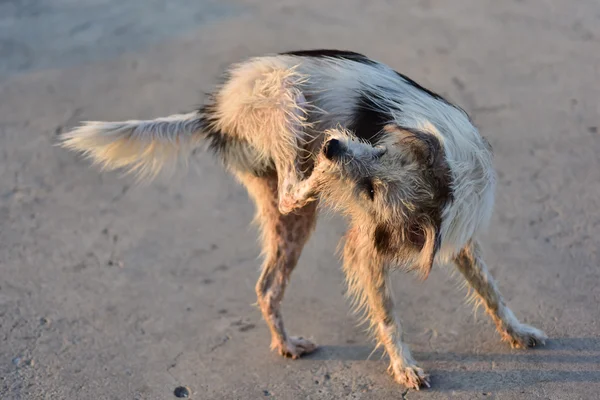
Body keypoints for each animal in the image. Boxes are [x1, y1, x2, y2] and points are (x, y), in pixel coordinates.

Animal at [59, 48, 544, 390]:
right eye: (377, 150)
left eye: (373, 188)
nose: (333, 146)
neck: (450, 182)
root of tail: (213, 111)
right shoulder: (364, 248)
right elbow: (388, 317)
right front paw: (404, 367)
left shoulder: (455, 238)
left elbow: (491, 291)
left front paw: (517, 331)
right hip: (285, 95)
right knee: (293, 188)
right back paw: (319, 174)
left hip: (288, 222)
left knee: (267, 284)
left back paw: (286, 343)